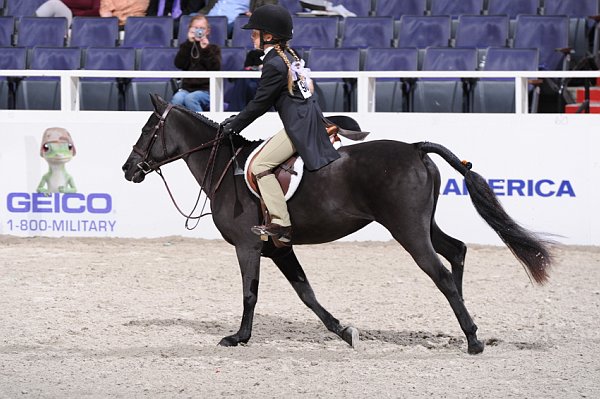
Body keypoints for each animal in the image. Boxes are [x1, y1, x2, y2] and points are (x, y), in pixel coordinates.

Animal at [122, 95, 552, 354]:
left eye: (147, 130)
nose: (129, 169)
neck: (226, 168)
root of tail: (415, 149)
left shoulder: (248, 246)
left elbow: (250, 294)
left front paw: (239, 337)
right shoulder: (279, 247)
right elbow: (306, 294)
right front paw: (343, 331)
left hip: (408, 231)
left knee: (441, 273)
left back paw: (473, 339)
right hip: (424, 226)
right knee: (457, 252)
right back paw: (463, 323)